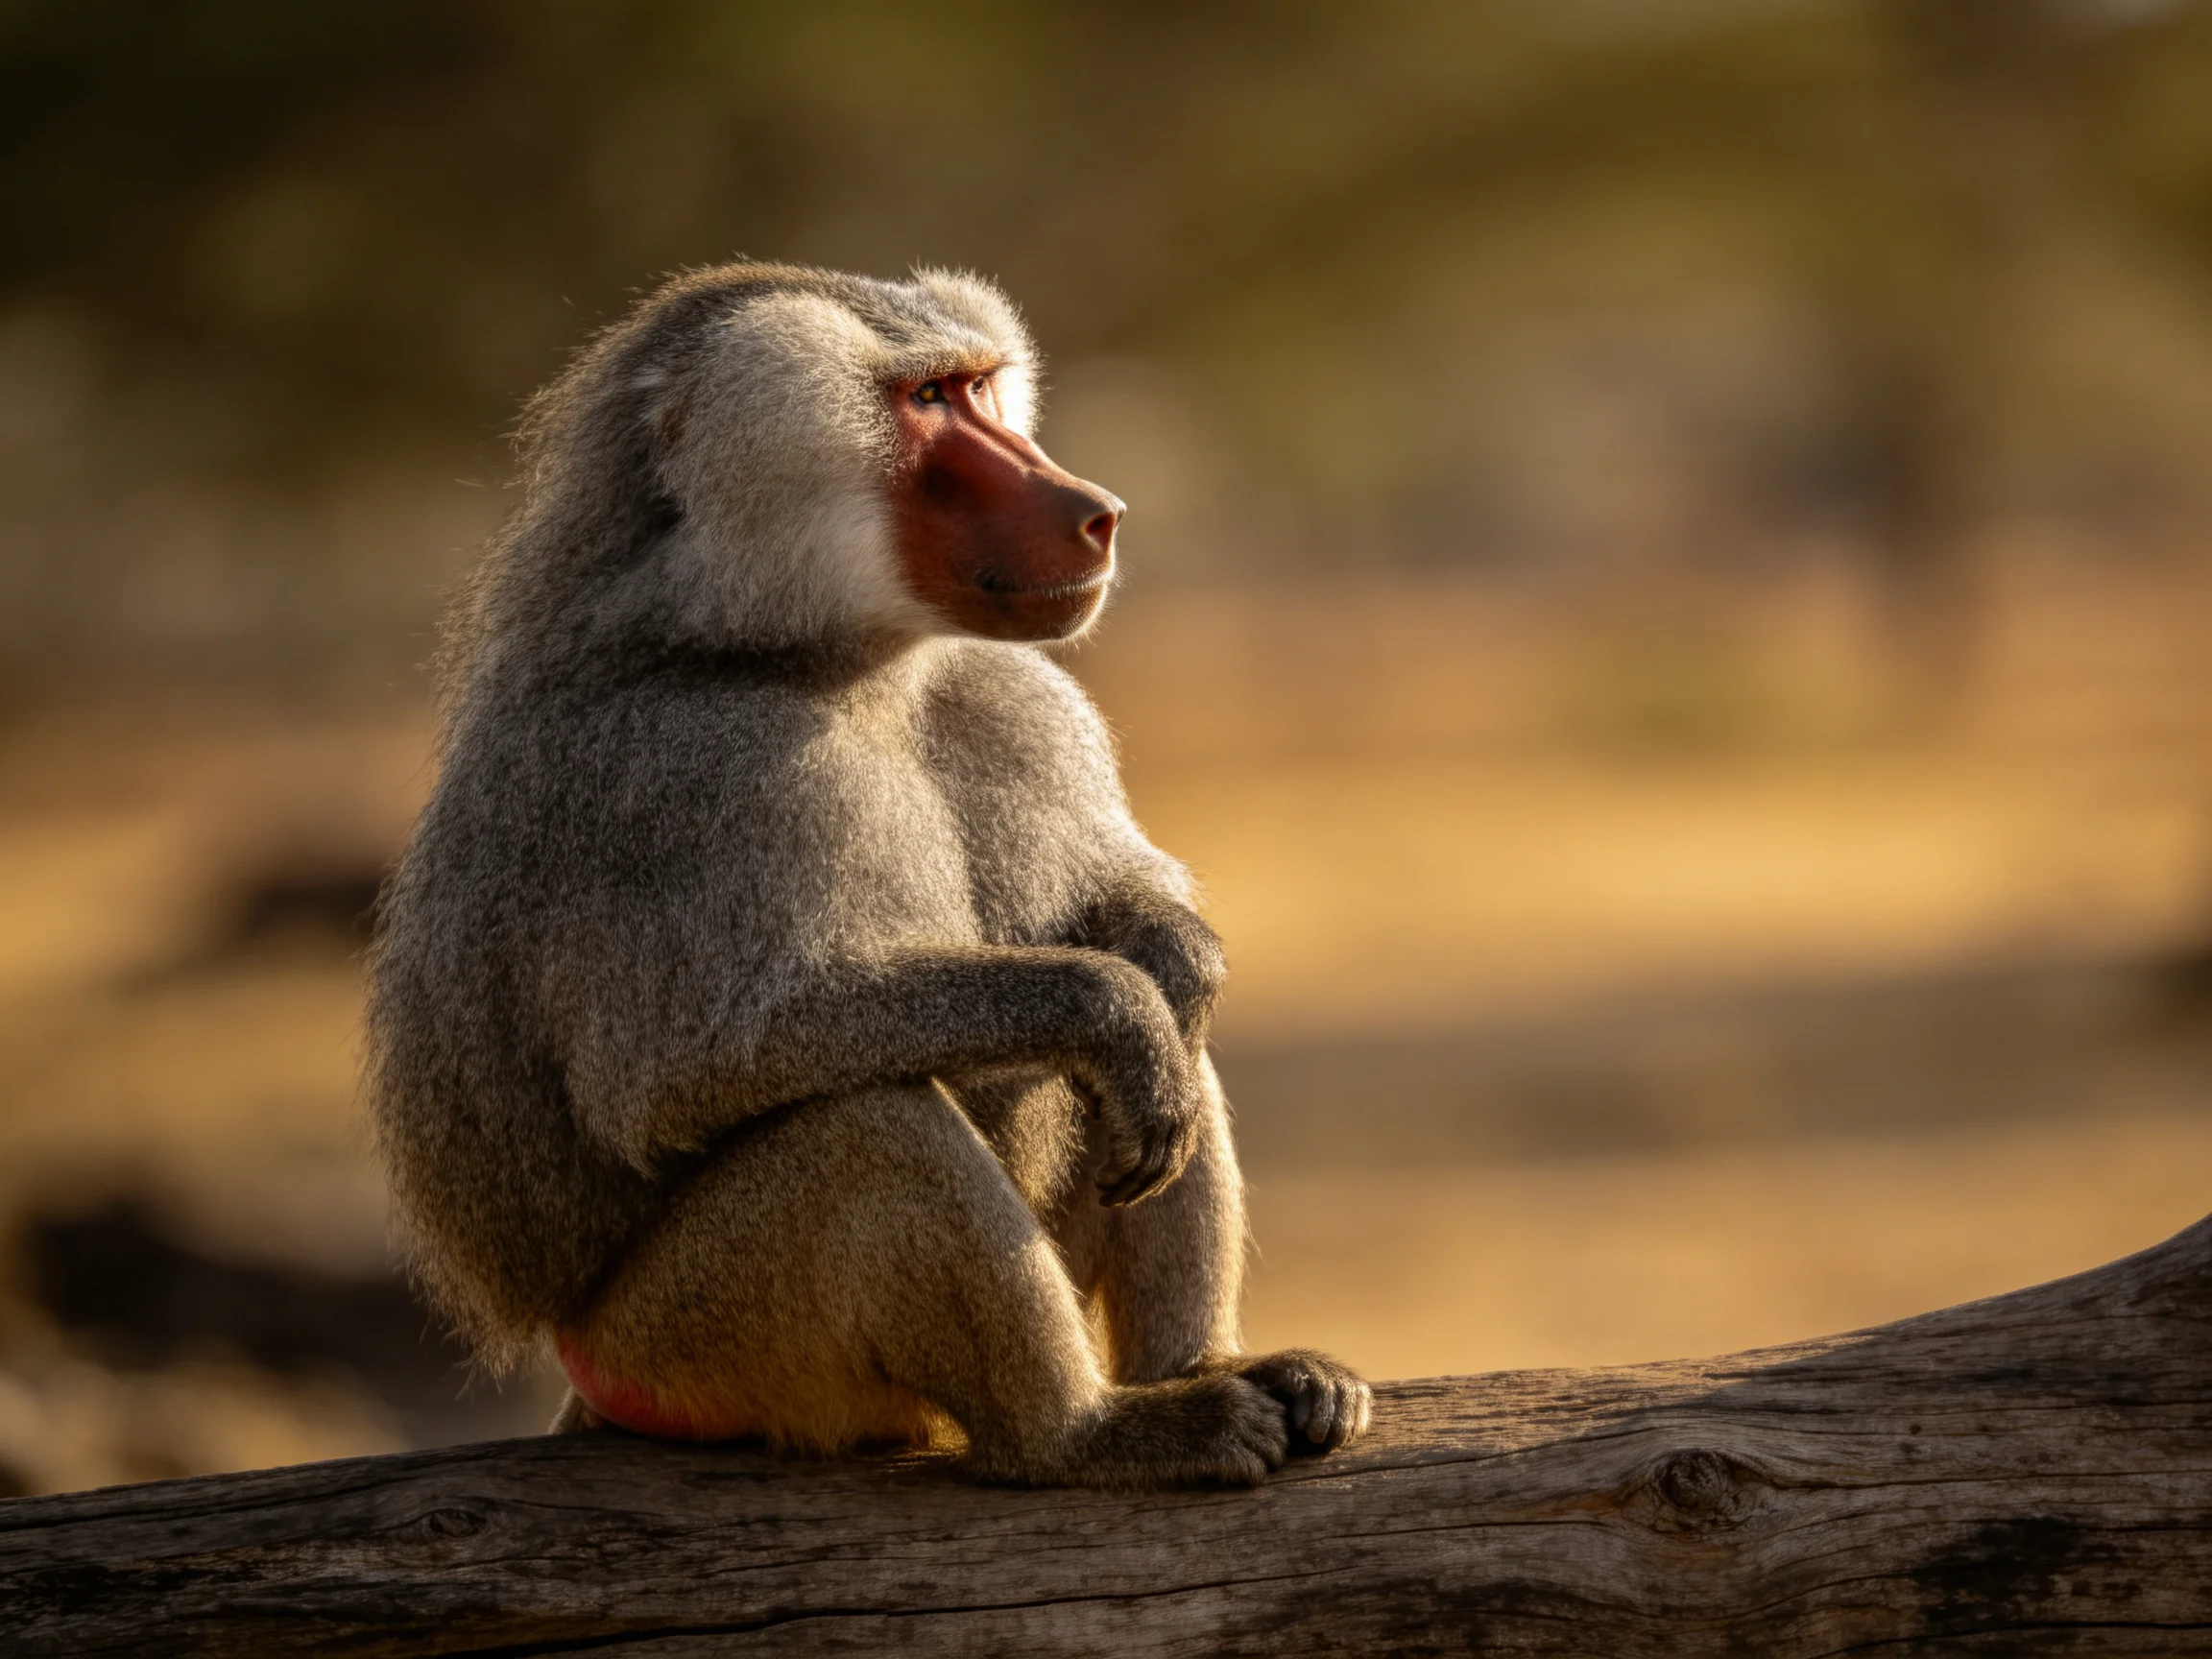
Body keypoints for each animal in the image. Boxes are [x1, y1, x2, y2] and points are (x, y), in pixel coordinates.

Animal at [366, 261, 1371, 1487]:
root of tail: (587, 1371)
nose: (1098, 512)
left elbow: (1129, 920)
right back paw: (1091, 1431)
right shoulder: (699, 775)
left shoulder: (1018, 694)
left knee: (1167, 1053)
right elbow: (688, 1071)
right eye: (926, 400)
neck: (839, 659)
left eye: (980, 386)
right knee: (867, 1126)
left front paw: (1173, 957)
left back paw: (1203, 1368)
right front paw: (1112, 1008)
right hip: (695, 1344)